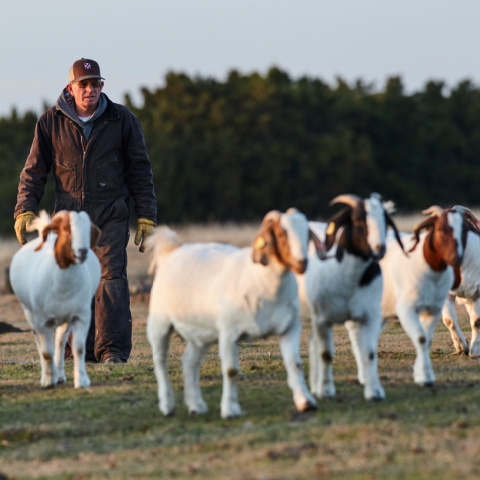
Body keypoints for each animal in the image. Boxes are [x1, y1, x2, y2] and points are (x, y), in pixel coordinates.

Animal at [9, 212, 101, 388]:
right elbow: (46, 351)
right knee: (42, 344)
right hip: (31, 314)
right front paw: (48, 381)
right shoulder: (42, 320)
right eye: (65, 229)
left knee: (60, 341)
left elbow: (79, 348)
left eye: (89, 230)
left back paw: (59, 375)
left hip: (64, 319)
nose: (82, 251)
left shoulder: (80, 316)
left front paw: (82, 381)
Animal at [144, 208, 320, 418]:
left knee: (189, 362)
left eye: (307, 233)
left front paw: (305, 402)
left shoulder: (290, 328)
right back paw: (167, 405)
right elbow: (231, 371)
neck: (262, 282)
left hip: (202, 333)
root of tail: (172, 250)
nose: (302, 263)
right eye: (280, 234)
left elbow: (295, 364)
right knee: (160, 361)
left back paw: (196, 405)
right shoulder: (228, 334)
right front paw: (230, 409)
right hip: (160, 323)